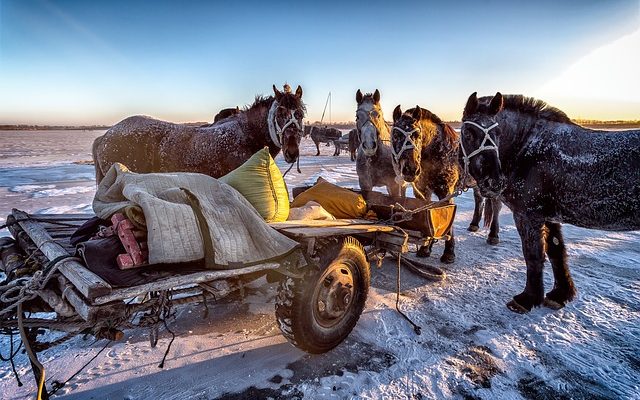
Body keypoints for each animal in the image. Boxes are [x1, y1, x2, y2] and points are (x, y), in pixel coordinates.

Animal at [460, 93, 640, 312]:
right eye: (468, 133)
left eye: (498, 134)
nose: (494, 182)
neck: (528, 150)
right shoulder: (549, 216)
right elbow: (556, 251)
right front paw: (560, 294)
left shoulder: (528, 215)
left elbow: (533, 255)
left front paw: (526, 299)